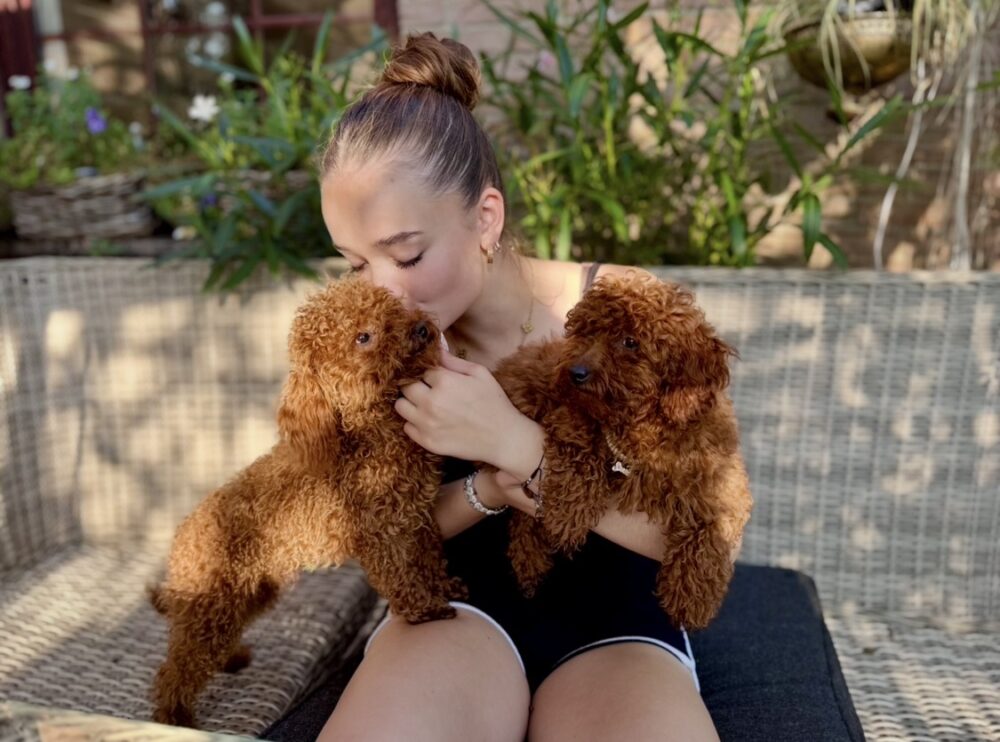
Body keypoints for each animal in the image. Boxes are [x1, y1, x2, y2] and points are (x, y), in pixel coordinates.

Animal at [149, 276, 466, 727]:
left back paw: (231, 659)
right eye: (363, 337)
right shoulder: (380, 534)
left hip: (251, 591)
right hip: (211, 600)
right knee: (178, 664)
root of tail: (182, 538)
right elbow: (403, 576)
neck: (371, 435)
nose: (421, 328)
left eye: (394, 308)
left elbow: (427, 559)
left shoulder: (414, 518)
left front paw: (444, 588)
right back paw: (174, 716)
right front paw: (426, 610)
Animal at [493, 271, 752, 631]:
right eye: (586, 333)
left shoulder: (725, 481)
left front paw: (694, 599)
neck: (642, 426)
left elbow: (713, 530)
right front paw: (568, 513)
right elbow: (581, 449)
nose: (575, 374)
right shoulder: (568, 413)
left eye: (630, 342)